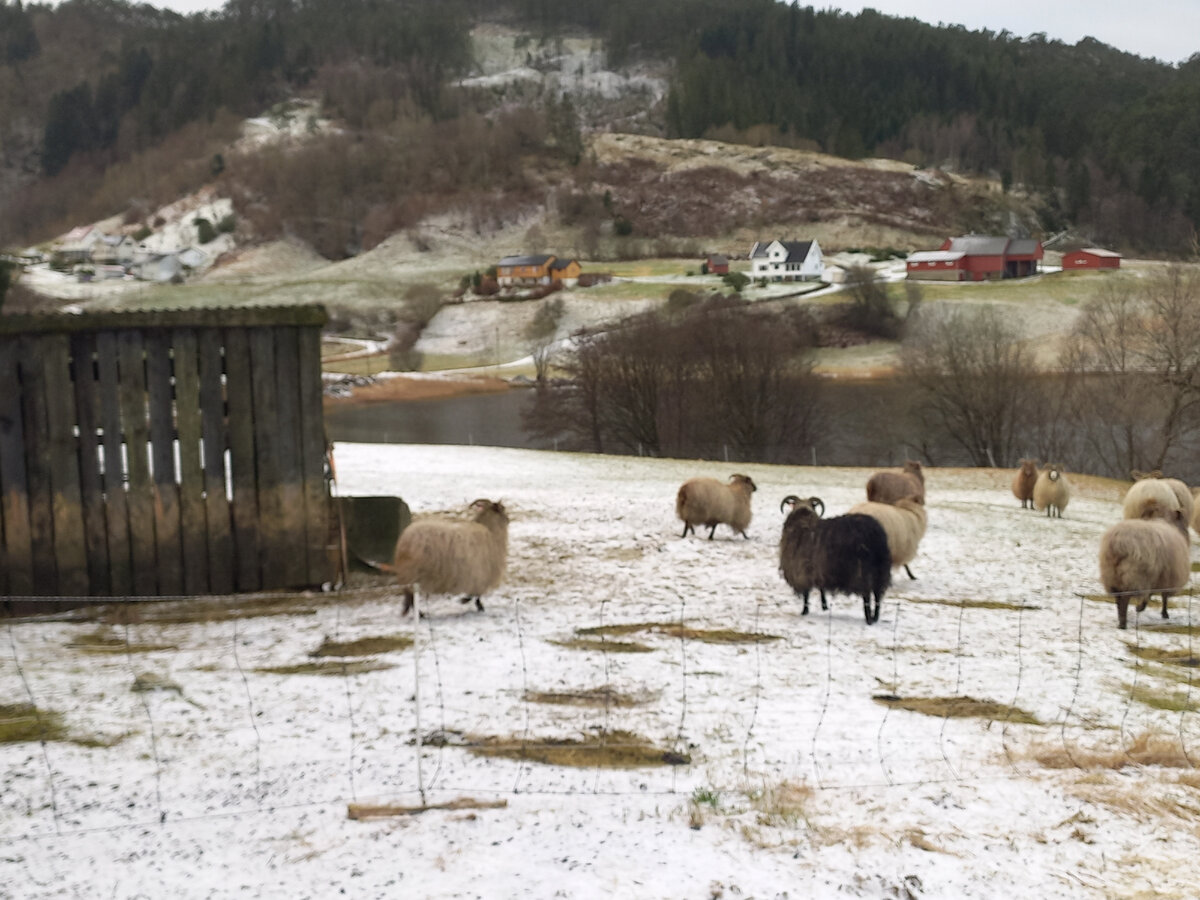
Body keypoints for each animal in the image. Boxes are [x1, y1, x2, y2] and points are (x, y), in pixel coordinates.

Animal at [777, 494, 892, 628]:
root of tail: (875, 532)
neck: (802, 519)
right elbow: (821, 588)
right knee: (878, 595)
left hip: (863, 571)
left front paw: (804, 611)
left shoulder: (802, 570)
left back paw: (869, 619)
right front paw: (824, 606)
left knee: (867, 596)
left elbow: (806, 594)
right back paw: (875, 617)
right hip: (881, 569)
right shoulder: (818, 569)